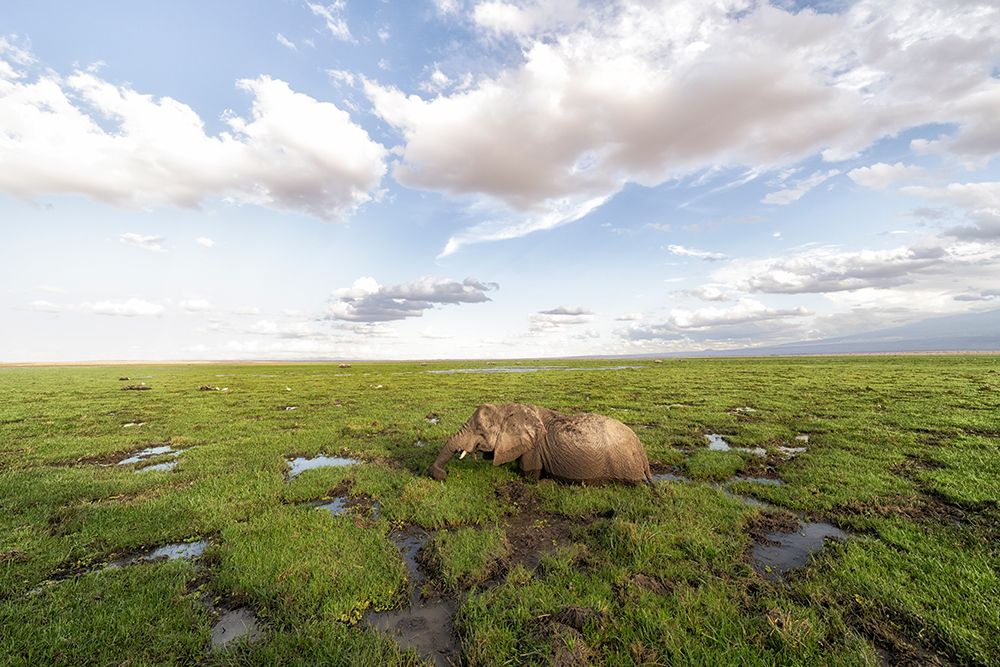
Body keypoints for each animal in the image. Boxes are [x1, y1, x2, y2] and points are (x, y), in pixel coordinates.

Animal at [427, 403, 654, 485]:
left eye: (480, 430)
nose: (443, 474)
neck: (509, 408)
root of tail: (641, 450)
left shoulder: (534, 449)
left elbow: (528, 474)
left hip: (624, 464)